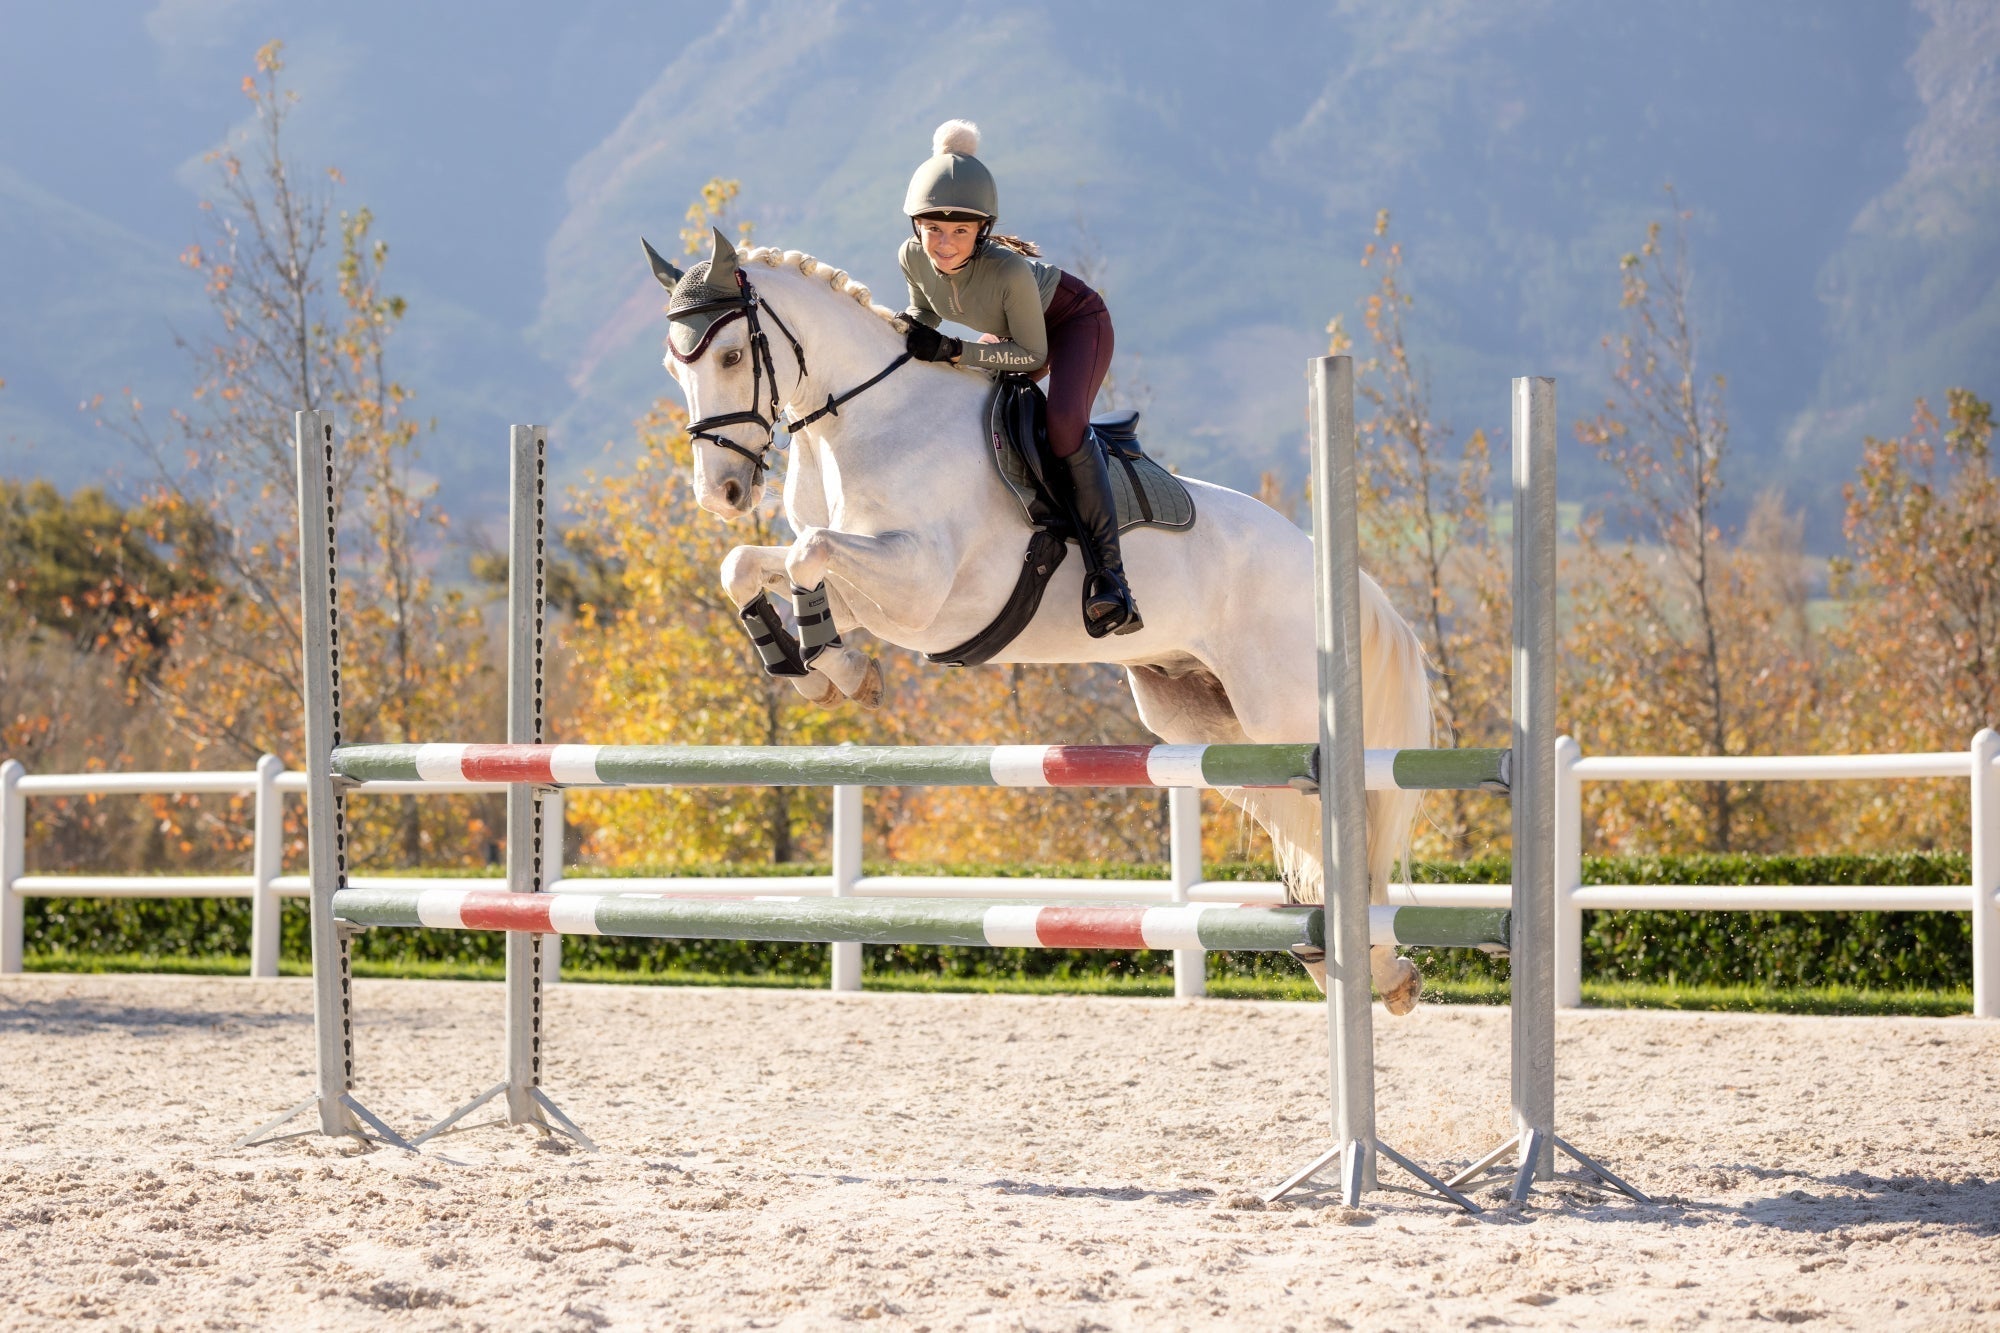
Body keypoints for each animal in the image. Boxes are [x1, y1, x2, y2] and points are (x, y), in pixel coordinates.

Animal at [648, 231, 1435, 1011]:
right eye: (673, 365)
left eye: (729, 356)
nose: (720, 493)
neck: (864, 421)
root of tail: (1322, 561)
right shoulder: (874, 594)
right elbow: (751, 565)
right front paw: (805, 664)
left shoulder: (922, 589)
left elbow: (808, 550)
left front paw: (836, 669)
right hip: (1210, 724)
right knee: (1292, 817)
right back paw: (1353, 963)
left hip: (1282, 711)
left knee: (1351, 814)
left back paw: (1380, 965)